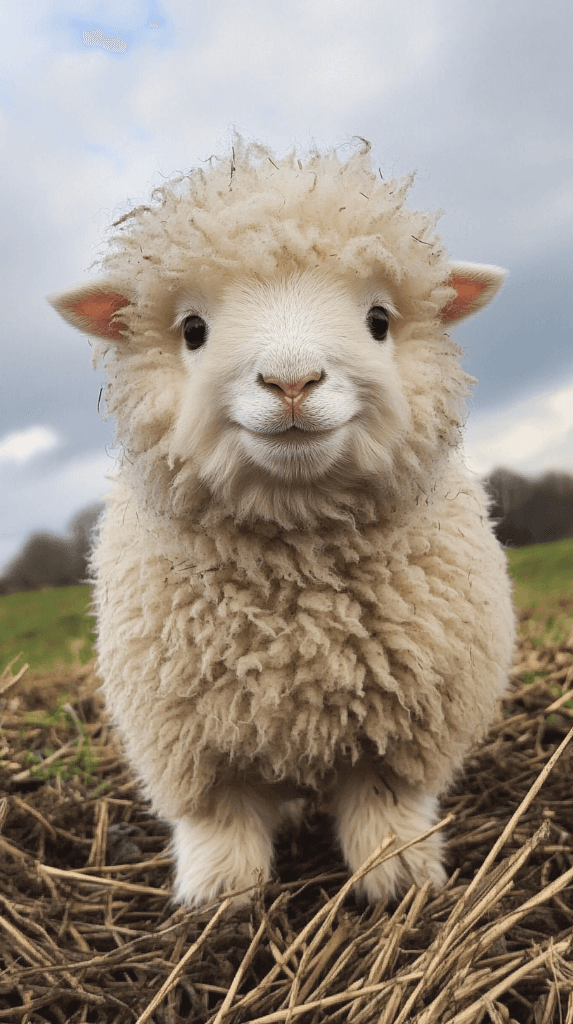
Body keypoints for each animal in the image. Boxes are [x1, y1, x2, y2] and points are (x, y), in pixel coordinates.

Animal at [49, 137, 516, 908]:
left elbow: (385, 805)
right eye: (193, 331)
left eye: (378, 321)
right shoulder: (192, 740)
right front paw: (218, 895)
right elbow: (219, 820)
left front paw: (396, 878)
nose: (291, 382)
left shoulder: (407, 728)